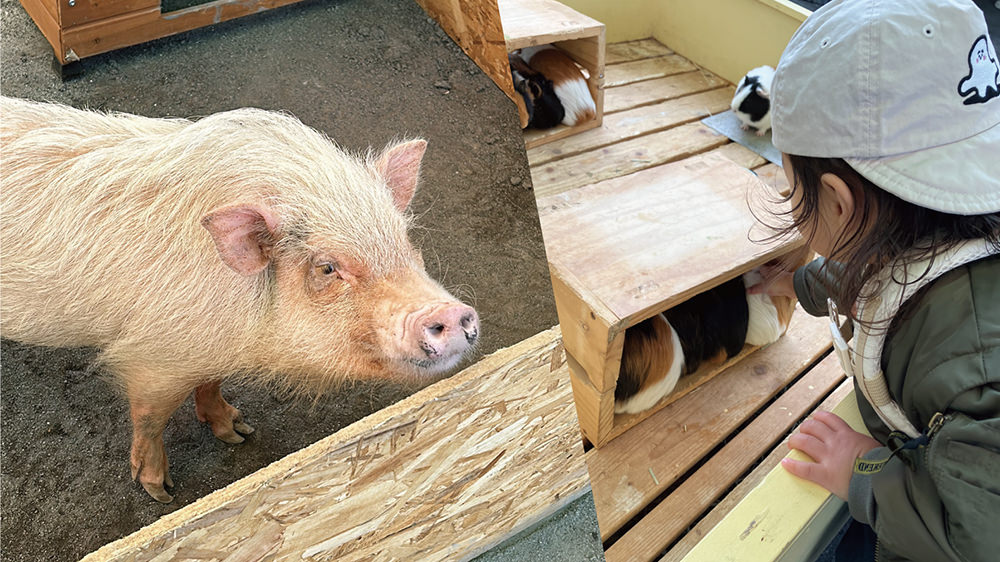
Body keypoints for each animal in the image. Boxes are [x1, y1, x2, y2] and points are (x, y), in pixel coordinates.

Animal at [0, 94, 484, 500]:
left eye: (405, 241)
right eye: (327, 267)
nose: (451, 311)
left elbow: (211, 384)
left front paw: (240, 431)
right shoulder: (151, 356)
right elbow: (151, 416)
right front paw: (161, 491)